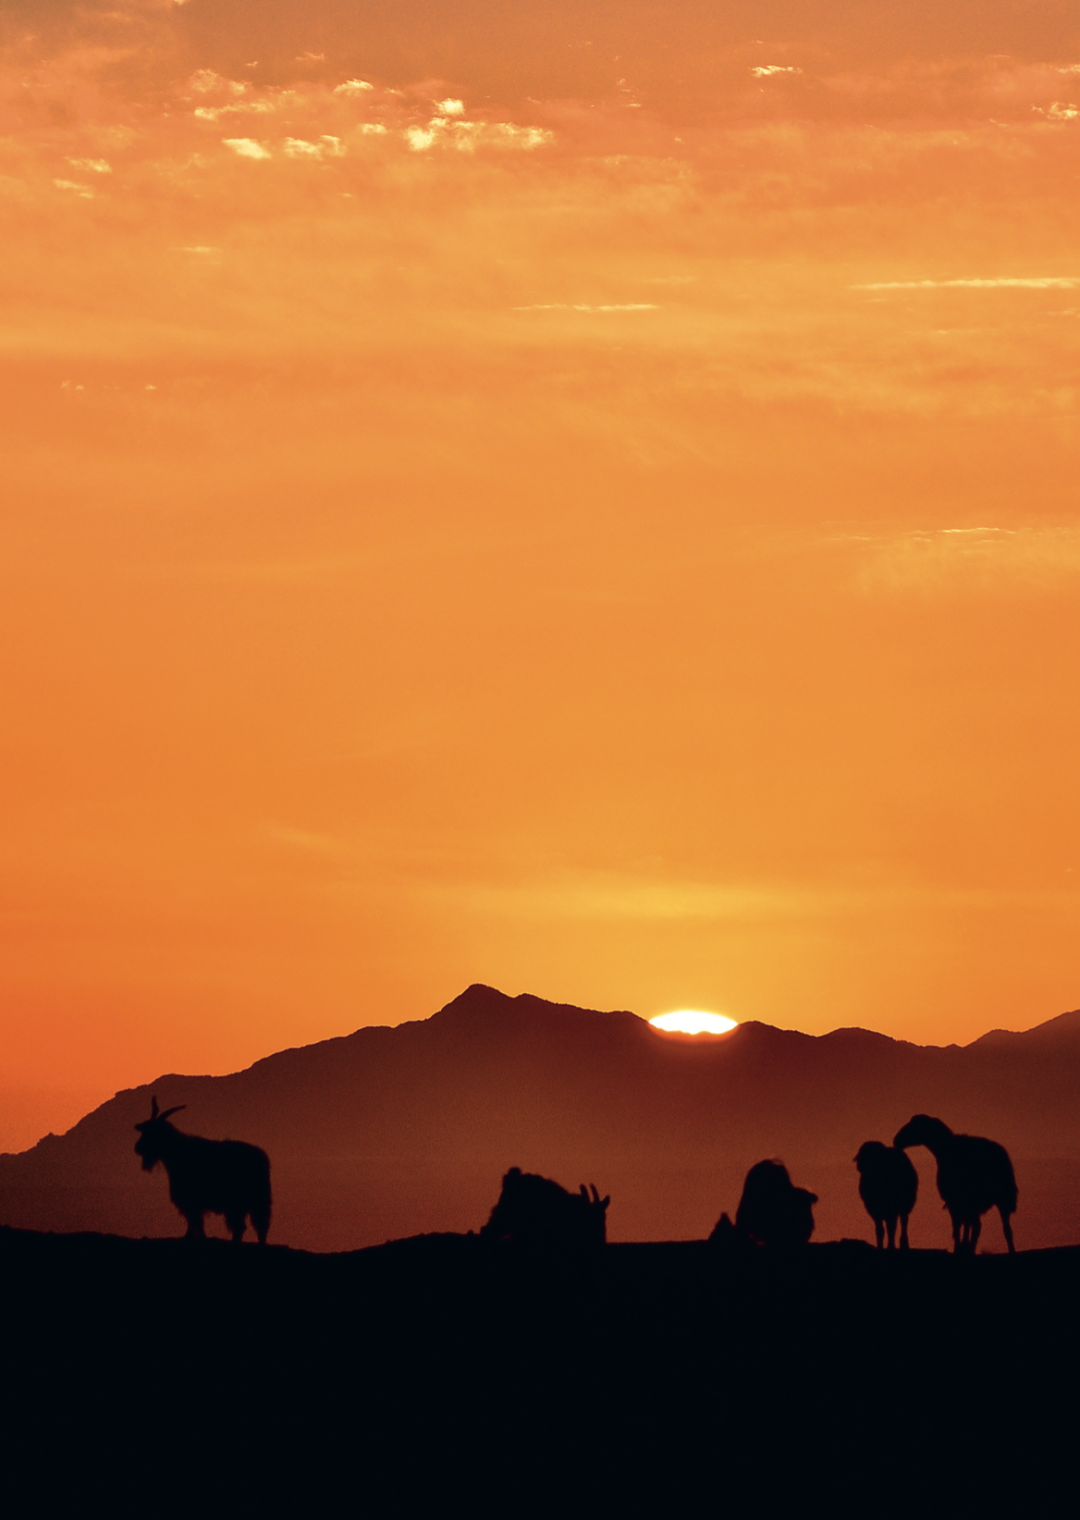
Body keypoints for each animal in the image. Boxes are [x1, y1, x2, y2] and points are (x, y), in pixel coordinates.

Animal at [134, 1094, 271, 1246]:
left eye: (153, 1132)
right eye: (145, 1130)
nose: (138, 1148)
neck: (178, 1152)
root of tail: (261, 1157)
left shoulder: (191, 1201)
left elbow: (195, 1222)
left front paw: (191, 1238)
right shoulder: (193, 1203)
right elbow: (196, 1223)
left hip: (238, 1203)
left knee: (242, 1227)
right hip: (256, 1202)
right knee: (257, 1227)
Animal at [893, 1112, 1020, 1252]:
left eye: (915, 1125)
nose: (896, 1140)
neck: (944, 1149)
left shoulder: (954, 1201)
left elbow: (957, 1227)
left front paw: (959, 1247)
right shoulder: (963, 1203)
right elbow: (964, 1227)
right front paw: (963, 1247)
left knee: (978, 1226)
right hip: (999, 1198)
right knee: (1004, 1229)